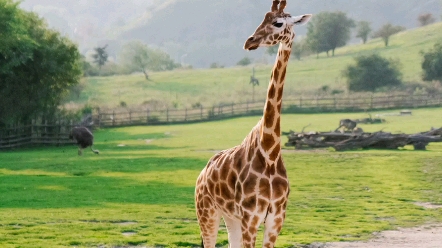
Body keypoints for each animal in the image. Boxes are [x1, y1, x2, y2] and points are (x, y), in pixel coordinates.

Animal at [195, 0, 312, 247]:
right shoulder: (251, 217)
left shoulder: (276, 219)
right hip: (206, 212)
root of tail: (202, 173)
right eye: (262, 18)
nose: (250, 42)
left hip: (230, 217)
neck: (270, 152)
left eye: (277, 23)